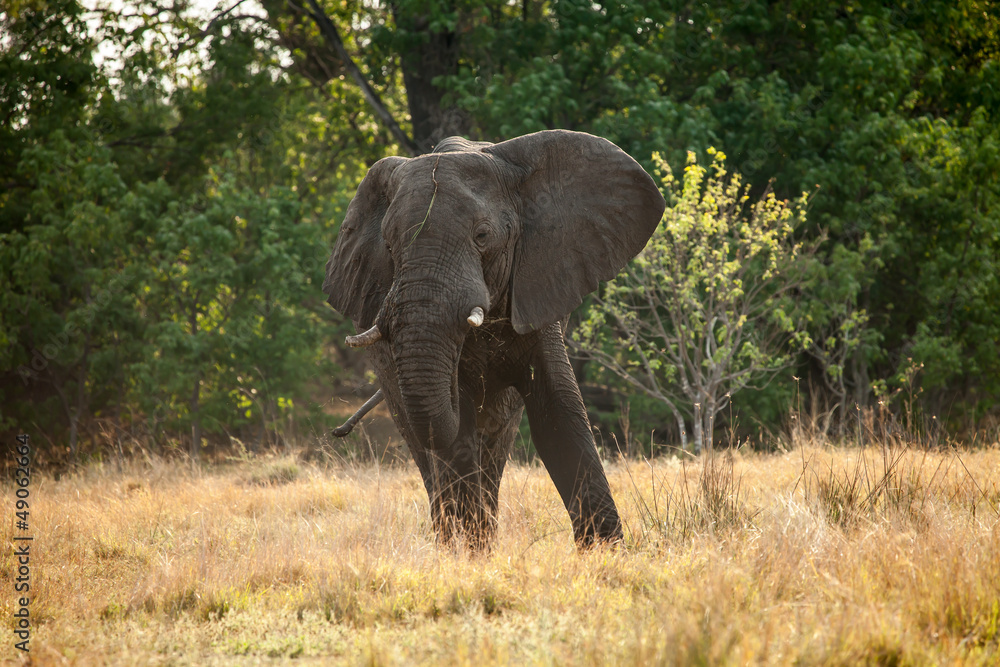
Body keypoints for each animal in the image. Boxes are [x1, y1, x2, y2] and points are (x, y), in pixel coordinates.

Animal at [323, 129, 665, 549]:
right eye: (388, 246)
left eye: (482, 236)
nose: (338, 432)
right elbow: (458, 432)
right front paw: (468, 555)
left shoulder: (540, 288)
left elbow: (558, 414)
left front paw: (607, 553)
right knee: (429, 450)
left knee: (494, 444)